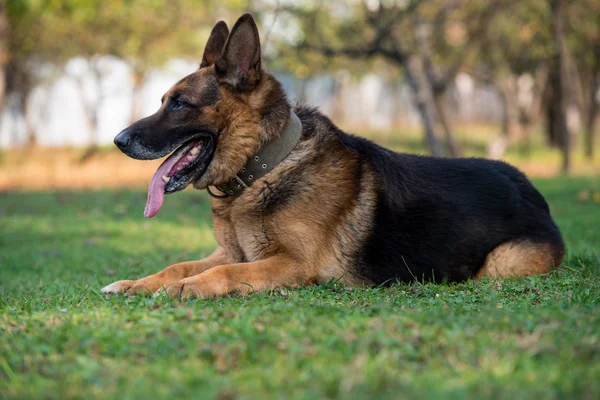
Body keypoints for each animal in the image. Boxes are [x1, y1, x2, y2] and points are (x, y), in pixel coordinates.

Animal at [101, 14, 564, 298]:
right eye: (163, 101)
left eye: (179, 104)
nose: (119, 140)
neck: (265, 167)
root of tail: (531, 189)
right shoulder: (233, 251)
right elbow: (179, 264)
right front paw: (135, 283)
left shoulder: (292, 264)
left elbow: (222, 273)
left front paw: (187, 288)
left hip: (500, 266)